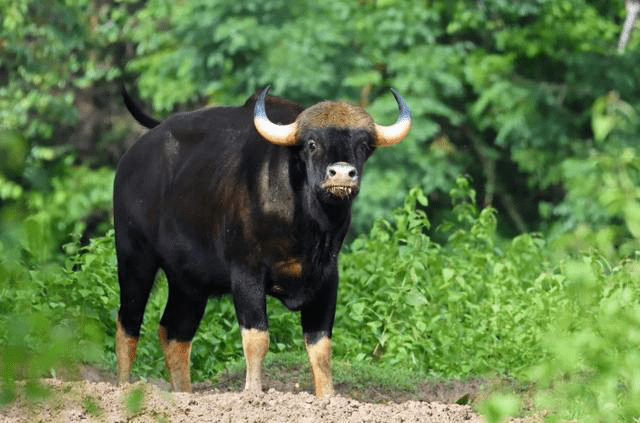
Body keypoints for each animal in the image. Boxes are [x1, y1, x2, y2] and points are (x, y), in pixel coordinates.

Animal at [114, 86, 410, 398]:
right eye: (312, 144)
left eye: (363, 145)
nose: (341, 174)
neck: (306, 227)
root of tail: (132, 158)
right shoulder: (247, 274)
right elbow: (257, 339)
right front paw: (253, 392)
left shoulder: (327, 278)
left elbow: (321, 347)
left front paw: (327, 397)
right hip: (134, 256)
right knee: (129, 323)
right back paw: (123, 386)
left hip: (189, 282)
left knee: (175, 333)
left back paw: (184, 393)